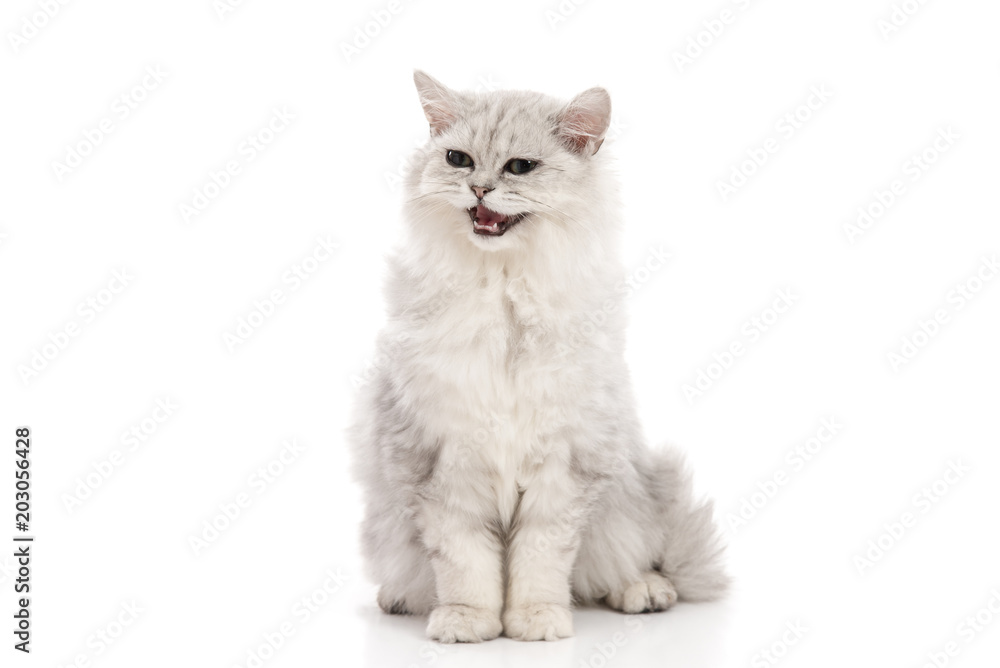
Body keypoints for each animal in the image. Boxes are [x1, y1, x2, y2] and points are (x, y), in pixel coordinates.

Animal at [350, 72, 728, 640]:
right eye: (458, 159)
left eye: (520, 167)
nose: (479, 188)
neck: (505, 294)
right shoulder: (443, 464)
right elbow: (466, 562)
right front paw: (469, 622)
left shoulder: (562, 469)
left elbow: (541, 560)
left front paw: (535, 622)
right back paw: (397, 599)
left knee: (639, 562)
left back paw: (644, 592)